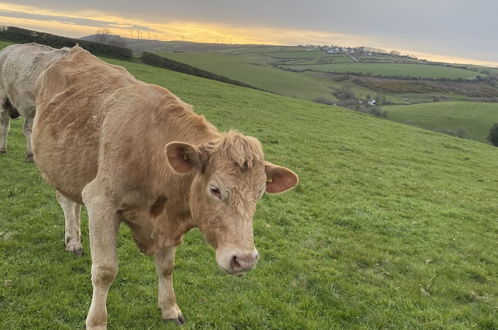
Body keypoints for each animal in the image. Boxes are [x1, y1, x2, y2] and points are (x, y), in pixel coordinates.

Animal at [33, 45, 298, 328]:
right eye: (215, 189)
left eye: (259, 194)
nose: (245, 260)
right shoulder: (101, 202)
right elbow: (105, 271)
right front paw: (96, 321)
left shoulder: (168, 219)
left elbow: (166, 268)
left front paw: (170, 307)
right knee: (66, 202)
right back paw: (73, 241)